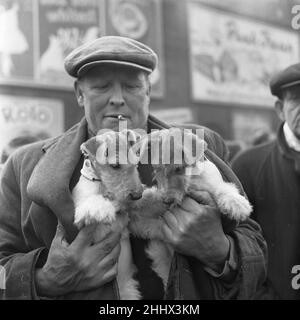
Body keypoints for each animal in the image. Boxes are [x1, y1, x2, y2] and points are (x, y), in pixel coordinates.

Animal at [127, 128, 252, 290]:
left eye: (178, 168)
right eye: (157, 169)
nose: (166, 200)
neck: (192, 181)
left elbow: (220, 189)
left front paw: (237, 204)